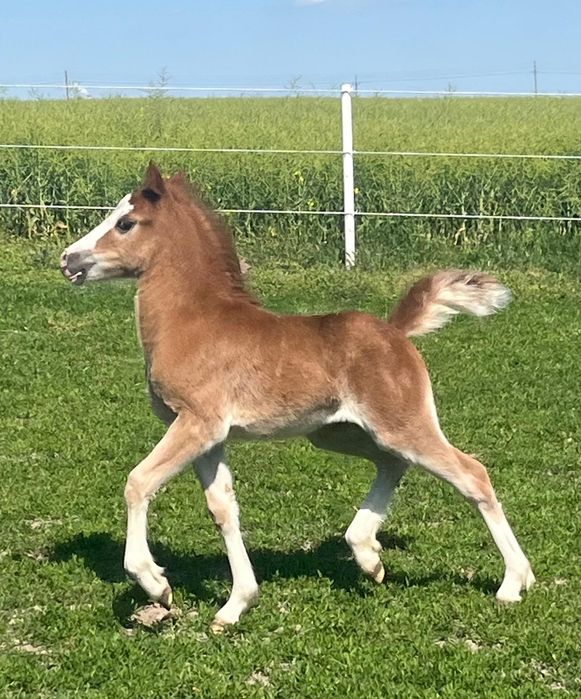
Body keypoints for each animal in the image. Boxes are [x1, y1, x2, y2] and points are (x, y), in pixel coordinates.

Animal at [60, 163, 534, 632]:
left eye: (125, 223)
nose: (68, 259)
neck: (192, 320)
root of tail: (395, 331)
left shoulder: (197, 423)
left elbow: (138, 482)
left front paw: (155, 583)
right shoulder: (209, 435)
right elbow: (223, 508)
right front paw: (236, 604)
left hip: (400, 424)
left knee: (471, 473)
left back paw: (514, 582)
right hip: (336, 432)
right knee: (392, 463)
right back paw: (367, 555)